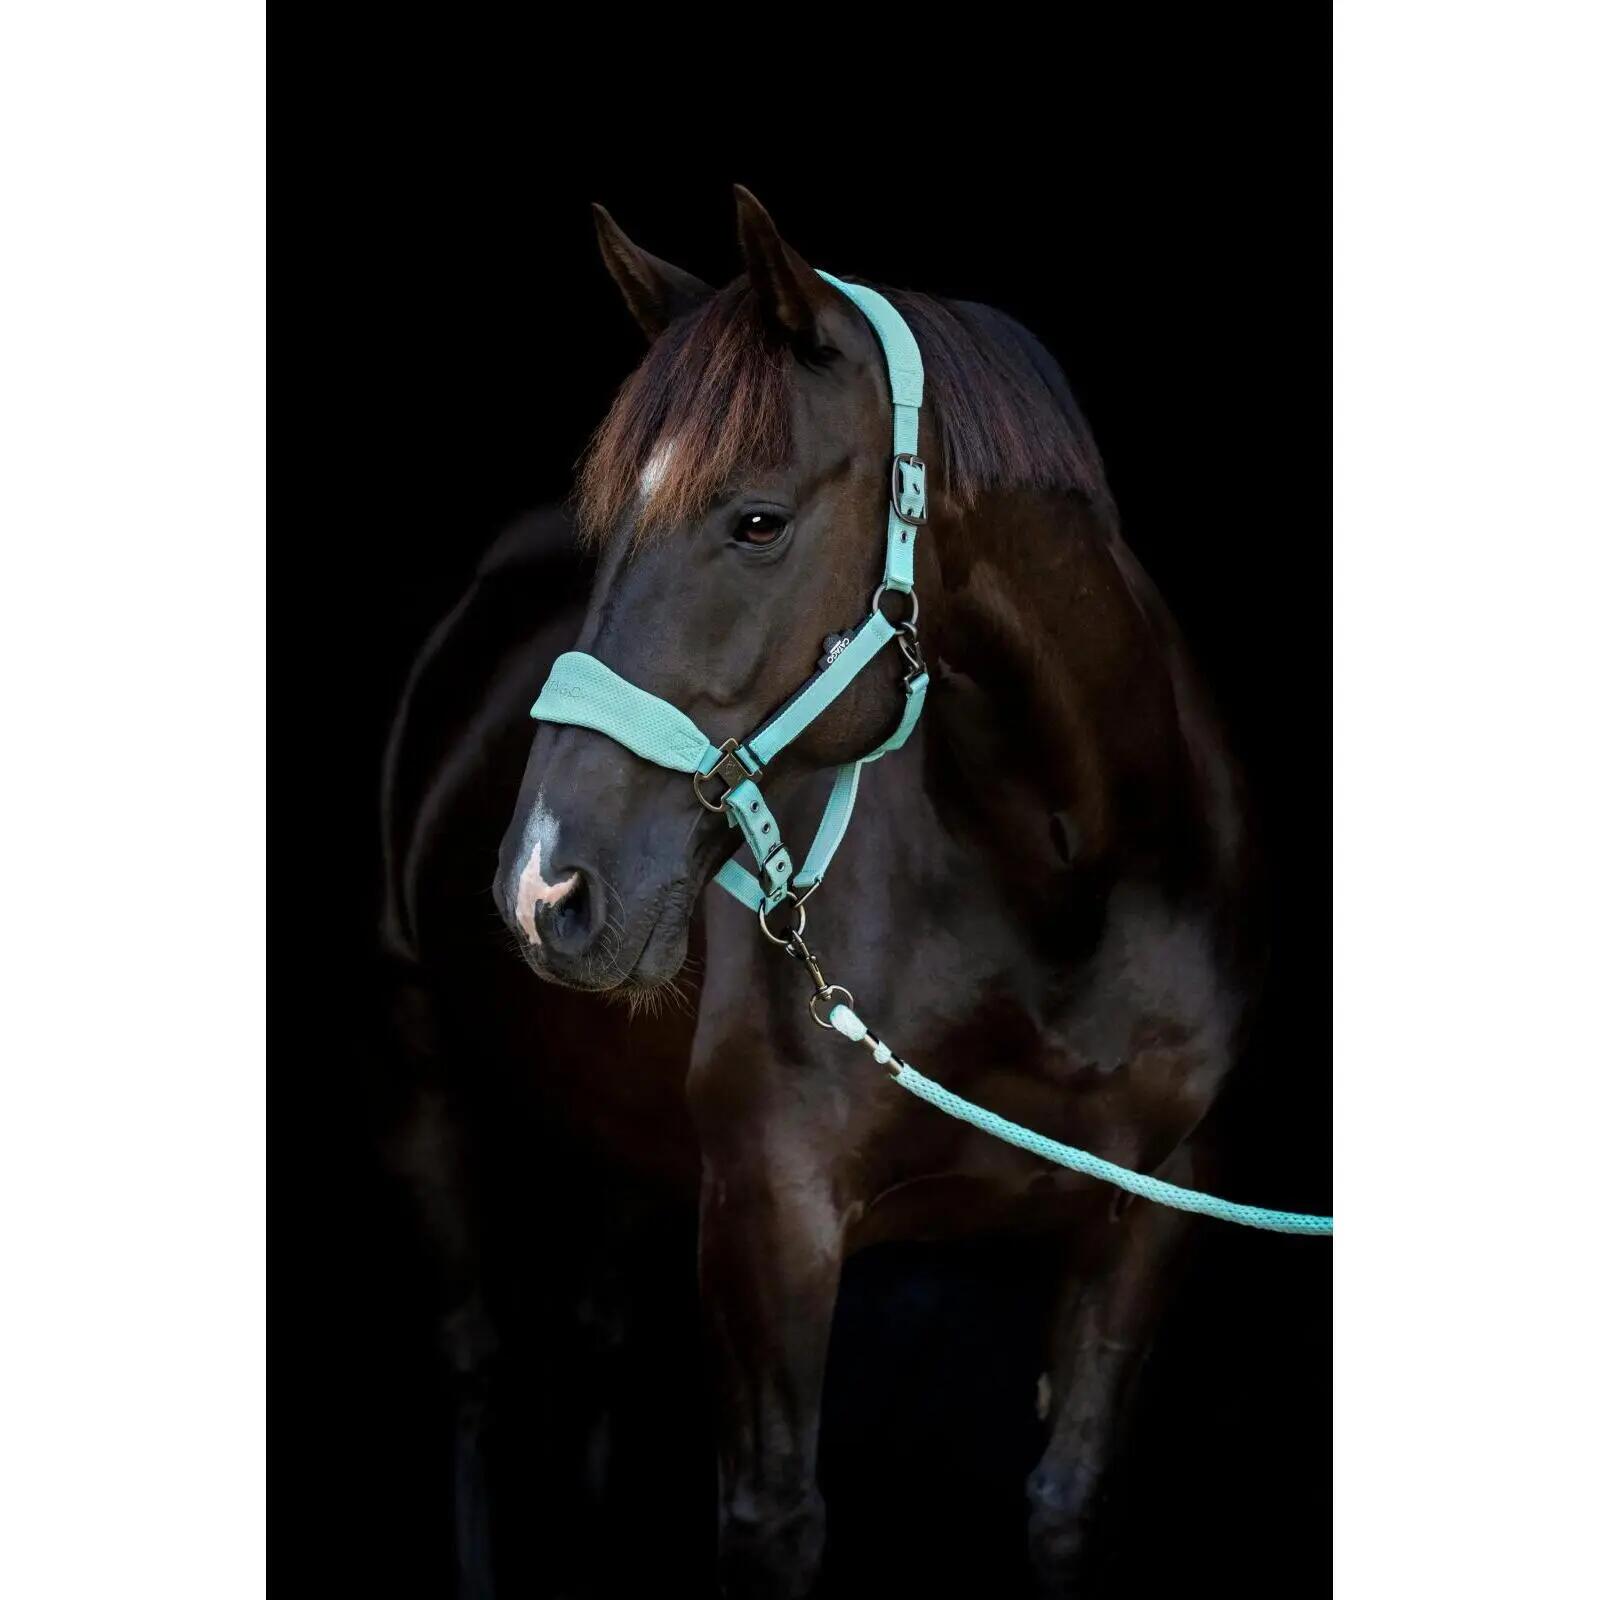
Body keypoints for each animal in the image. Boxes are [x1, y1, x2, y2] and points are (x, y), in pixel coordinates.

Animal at [482, 186, 1274, 1597]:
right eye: (604, 527)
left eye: (755, 521)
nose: (545, 890)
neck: (1061, 883)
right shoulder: (768, 1215)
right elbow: (777, 1519)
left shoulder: (1157, 1214)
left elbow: (1066, 1496)